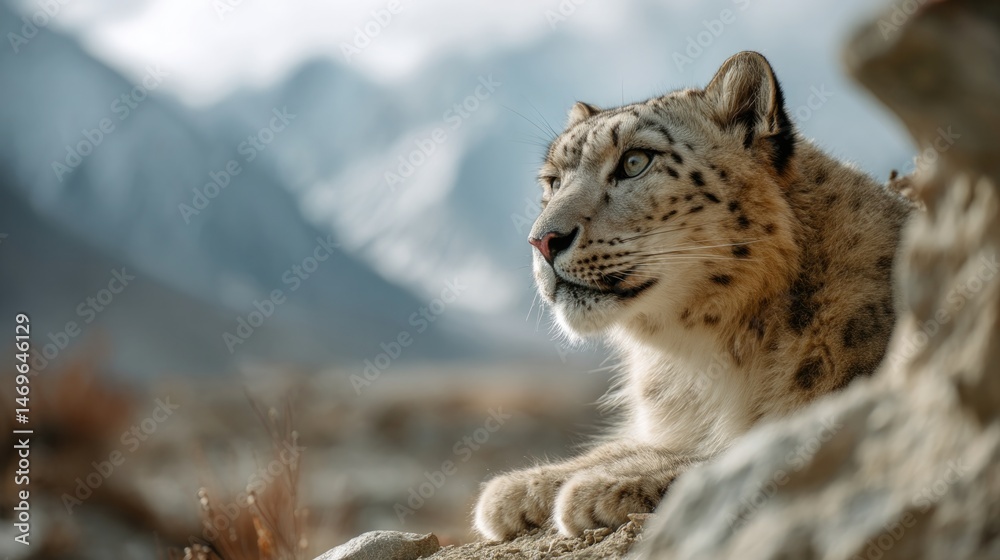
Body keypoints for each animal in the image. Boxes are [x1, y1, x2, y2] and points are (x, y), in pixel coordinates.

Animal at [474, 51, 913, 541]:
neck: (697, 359)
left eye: (634, 162)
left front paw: (604, 483)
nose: (542, 240)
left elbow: (745, 449)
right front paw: (519, 488)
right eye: (552, 181)